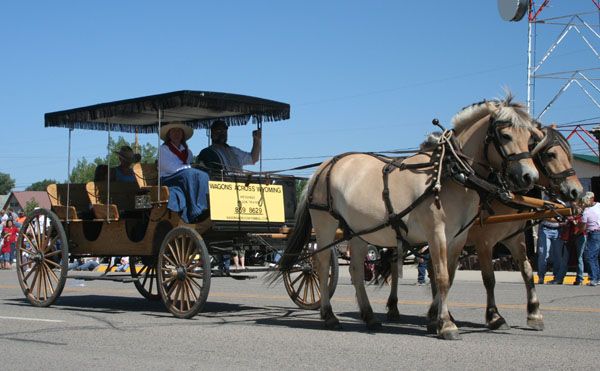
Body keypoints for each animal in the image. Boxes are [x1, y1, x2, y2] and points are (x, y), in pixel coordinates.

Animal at [276, 95, 540, 340]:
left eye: (530, 138)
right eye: (505, 136)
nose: (530, 177)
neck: (450, 173)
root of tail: (324, 166)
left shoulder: (459, 238)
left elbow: (450, 277)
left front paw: (436, 320)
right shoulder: (438, 234)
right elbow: (442, 277)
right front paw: (447, 325)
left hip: (358, 230)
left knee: (356, 271)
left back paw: (369, 316)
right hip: (325, 224)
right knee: (321, 266)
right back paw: (329, 315)